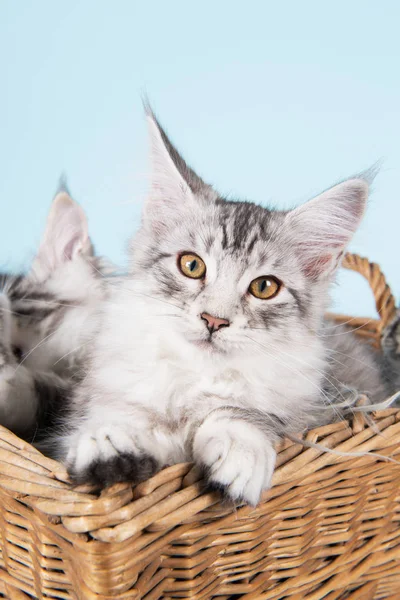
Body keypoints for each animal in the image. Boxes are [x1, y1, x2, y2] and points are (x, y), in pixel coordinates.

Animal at [60, 110, 390, 504]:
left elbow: (240, 411)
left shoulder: (312, 407)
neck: (196, 379)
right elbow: (114, 412)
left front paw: (239, 450)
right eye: (191, 265)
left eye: (264, 287)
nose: (213, 320)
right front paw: (110, 439)